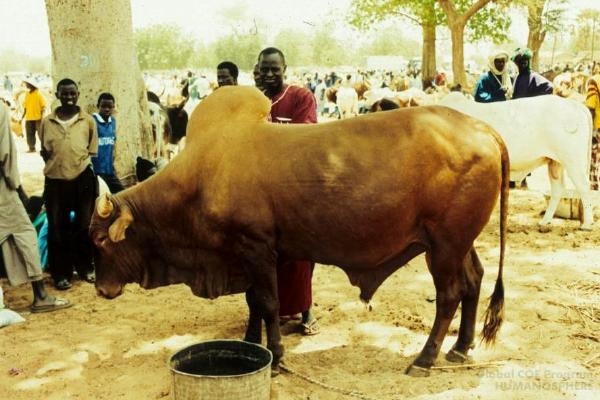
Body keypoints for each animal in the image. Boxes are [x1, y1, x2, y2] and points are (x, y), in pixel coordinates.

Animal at [89, 86, 508, 376]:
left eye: (99, 239)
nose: (101, 289)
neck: (202, 175)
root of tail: (482, 128)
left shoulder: (256, 247)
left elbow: (269, 302)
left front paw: (275, 357)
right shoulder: (253, 254)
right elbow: (254, 302)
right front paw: (250, 343)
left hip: (444, 245)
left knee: (450, 294)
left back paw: (425, 358)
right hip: (457, 242)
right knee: (474, 280)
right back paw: (461, 347)